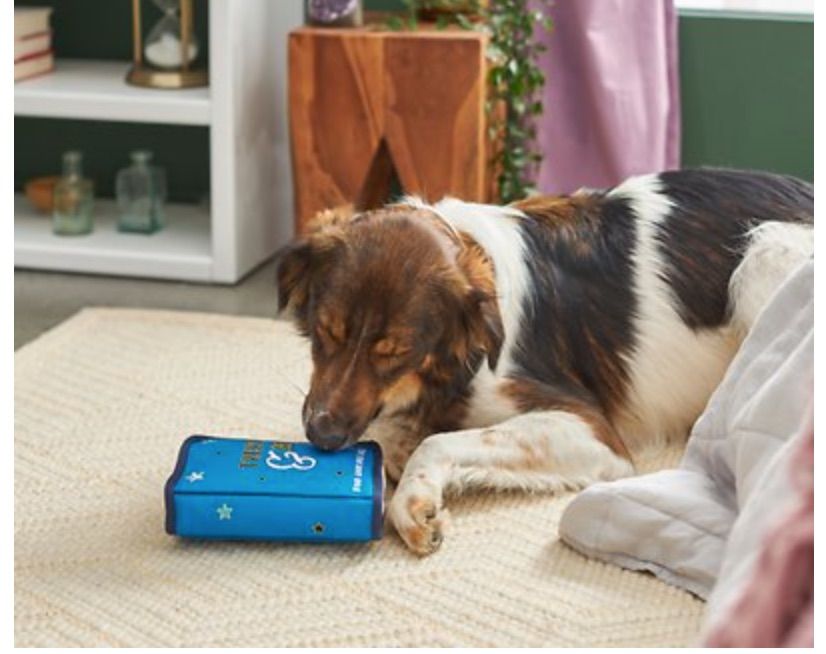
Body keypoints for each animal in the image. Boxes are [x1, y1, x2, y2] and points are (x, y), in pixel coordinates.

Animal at [276, 169, 812, 560]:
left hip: (764, 254)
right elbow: (390, 431)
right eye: (325, 333)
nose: (322, 436)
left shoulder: (592, 430)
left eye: (395, 352)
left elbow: (438, 441)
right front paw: (398, 443)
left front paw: (414, 501)